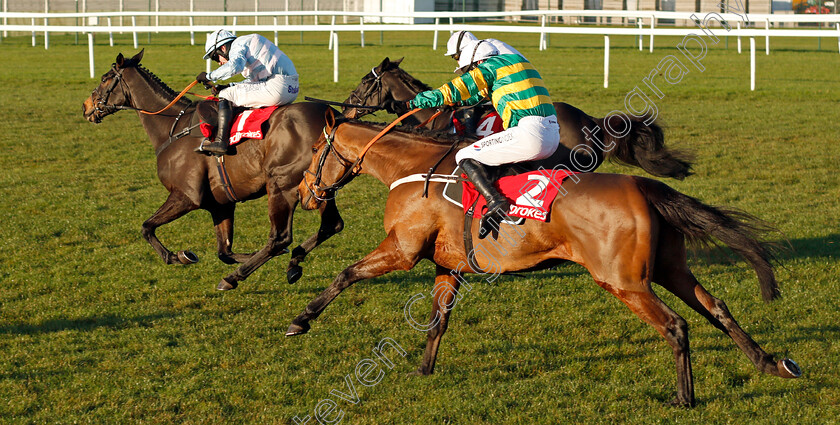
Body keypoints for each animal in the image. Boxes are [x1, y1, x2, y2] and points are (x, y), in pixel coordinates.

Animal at [79, 48, 342, 288]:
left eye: (105, 78)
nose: (86, 107)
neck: (174, 128)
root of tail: (334, 118)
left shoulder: (186, 196)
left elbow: (146, 227)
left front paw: (180, 256)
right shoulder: (220, 203)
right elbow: (224, 252)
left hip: (282, 185)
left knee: (280, 237)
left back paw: (234, 278)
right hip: (317, 188)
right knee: (331, 225)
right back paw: (293, 262)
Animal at [288, 114, 800, 406]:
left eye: (314, 150)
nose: (306, 195)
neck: (414, 169)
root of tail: (643, 186)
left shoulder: (404, 249)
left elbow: (346, 274)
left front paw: (301, 319)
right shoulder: (446, 264)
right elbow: (437, 321)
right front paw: (424, 370)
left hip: (623, 280)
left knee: (676, 326)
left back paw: (683, 399)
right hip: (671, 269)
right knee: (717, 309)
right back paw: (770, 363)